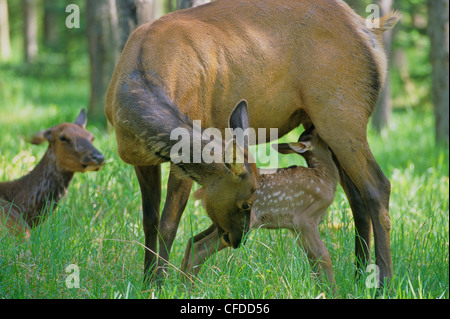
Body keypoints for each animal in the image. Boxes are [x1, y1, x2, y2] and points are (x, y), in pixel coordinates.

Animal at [181, 127, 340, 290]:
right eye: (313, 134)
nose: (312, 126)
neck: (323, 178)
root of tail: (203, 192)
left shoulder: (294, 227)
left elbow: (313, 259)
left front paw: (322, 288)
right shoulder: (304, 219)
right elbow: (323, 256)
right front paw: (332, 291)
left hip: (220, 220)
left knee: (192, 241)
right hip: (241, 224)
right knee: (199, 248)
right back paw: (188, 288)